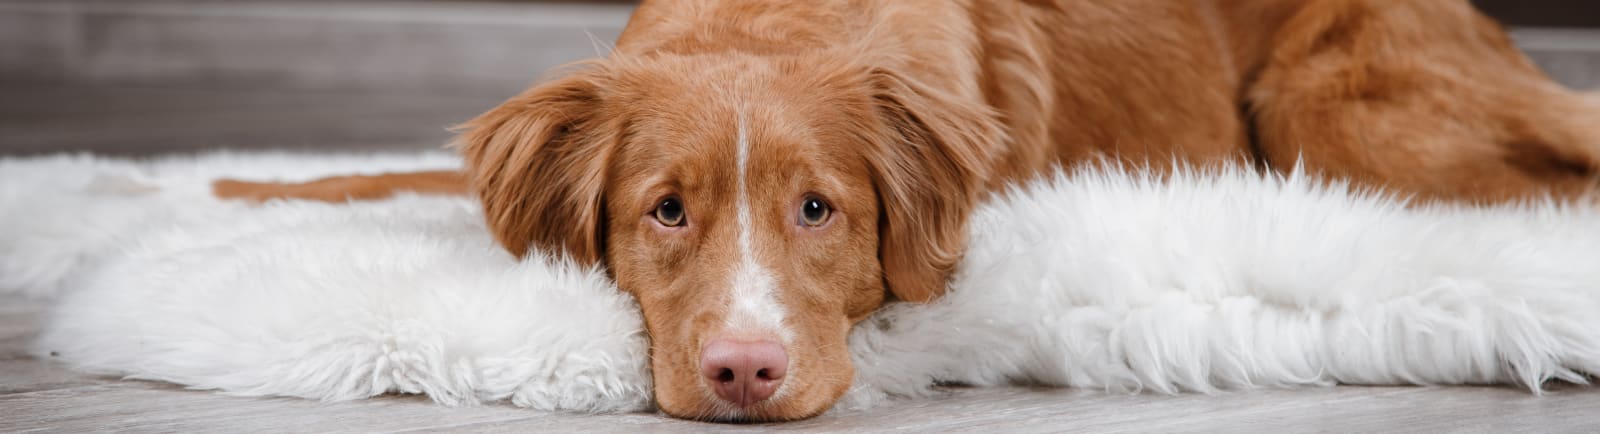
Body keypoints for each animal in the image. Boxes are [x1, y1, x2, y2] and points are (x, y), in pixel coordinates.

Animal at [216, 0, 1600, 422]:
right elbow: (381, 179)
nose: (744, 370)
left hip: (1341, 111)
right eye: (664, 210)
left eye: (817, 209)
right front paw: (228, 184)